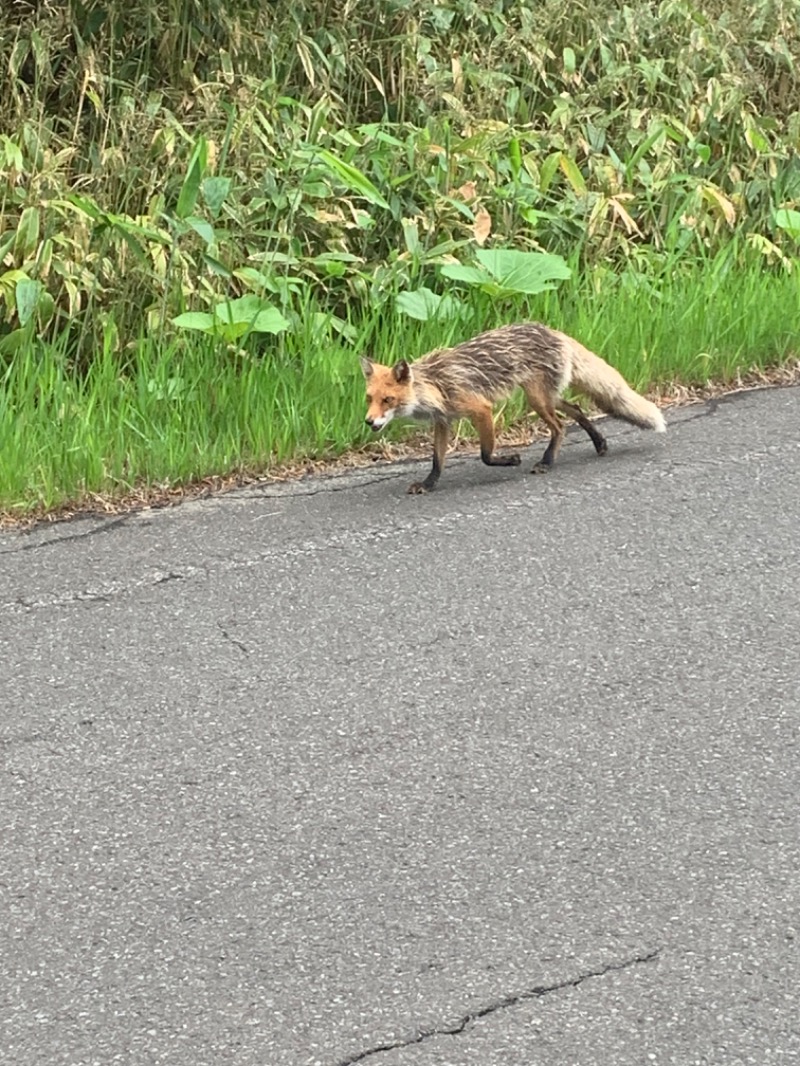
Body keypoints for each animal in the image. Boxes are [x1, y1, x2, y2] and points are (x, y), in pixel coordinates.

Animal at [360, 321, 665, 492]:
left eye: (388, 400)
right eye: (369, 398)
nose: (368, 421)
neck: (435, 387)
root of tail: (554, 332)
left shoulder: (480, 409)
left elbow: (485, 455)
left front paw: (510, 460)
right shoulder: (444, 421)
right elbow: (437, 461)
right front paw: (428, 485)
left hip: (537, 398)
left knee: (560, 426)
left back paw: (547, 462)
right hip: (547, 396)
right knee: (577, 409)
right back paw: (599, 443)